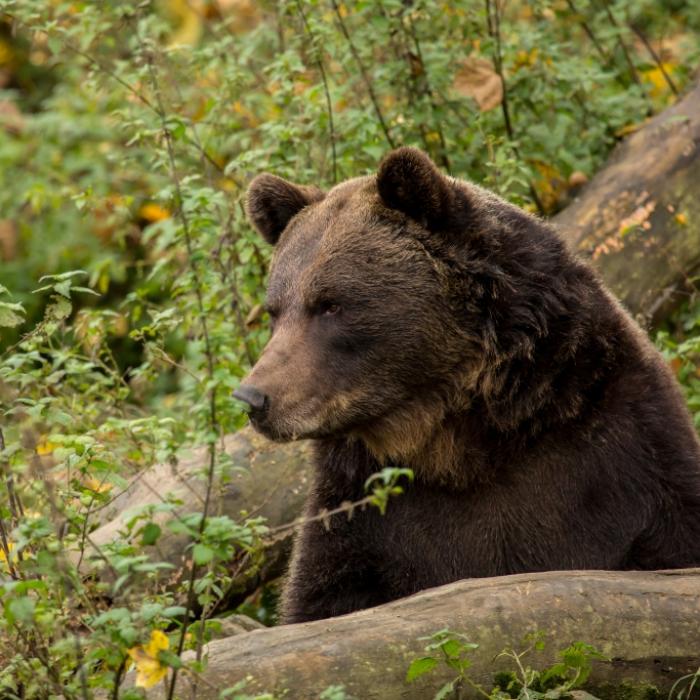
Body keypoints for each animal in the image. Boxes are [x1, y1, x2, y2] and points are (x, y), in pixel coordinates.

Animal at [235, 147, 700, 624]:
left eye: (330, 305)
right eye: (275, 310)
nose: (254, 397)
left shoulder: (624, 462)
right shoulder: (361, 516)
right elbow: (321, 599)